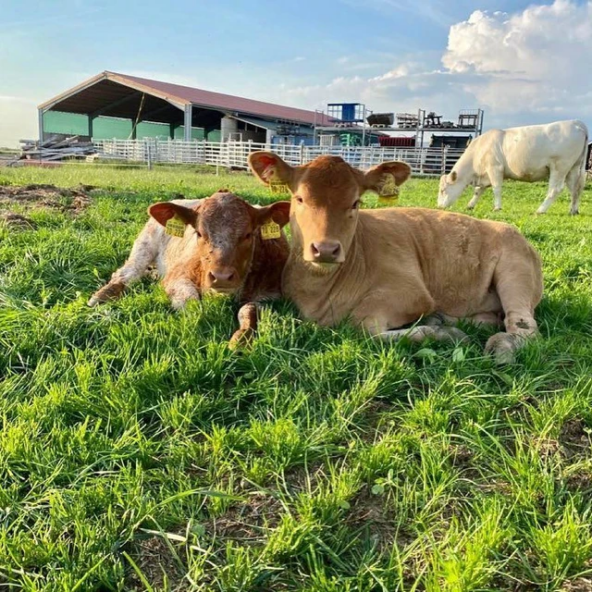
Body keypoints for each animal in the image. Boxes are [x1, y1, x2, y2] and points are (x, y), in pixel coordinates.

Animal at [88, 190, 290, 346]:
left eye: (248, 234)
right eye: (199, 233)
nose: (221, 277)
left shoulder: (270, 295)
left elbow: (249, 311)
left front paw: (241, 340)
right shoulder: (176, 277)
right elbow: (192, 304)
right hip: (144, 244)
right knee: (127, 273)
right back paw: (100, 296)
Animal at [247, 151, 544, 366]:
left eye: (356, 202)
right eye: (299, 198)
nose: (326, 249)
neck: (317, 296)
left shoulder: (411, 293)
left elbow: (363, 324)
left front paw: (441, 335)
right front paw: (440, 327)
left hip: (515, 273)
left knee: (524, 327)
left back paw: (501, 347)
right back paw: (443, 319)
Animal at [438, 119, 588, 214]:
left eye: (443, 190)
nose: (439, 207)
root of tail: (577, 122)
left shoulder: (495, 168)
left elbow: (496, 189)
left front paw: (497, 208)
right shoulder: (485, 175)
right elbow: (478, 190)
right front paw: (470, 205)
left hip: (559, 166)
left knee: (555, 189)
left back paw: (541, 210)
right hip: (574, 168)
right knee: (575, 189)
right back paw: (573, 210)